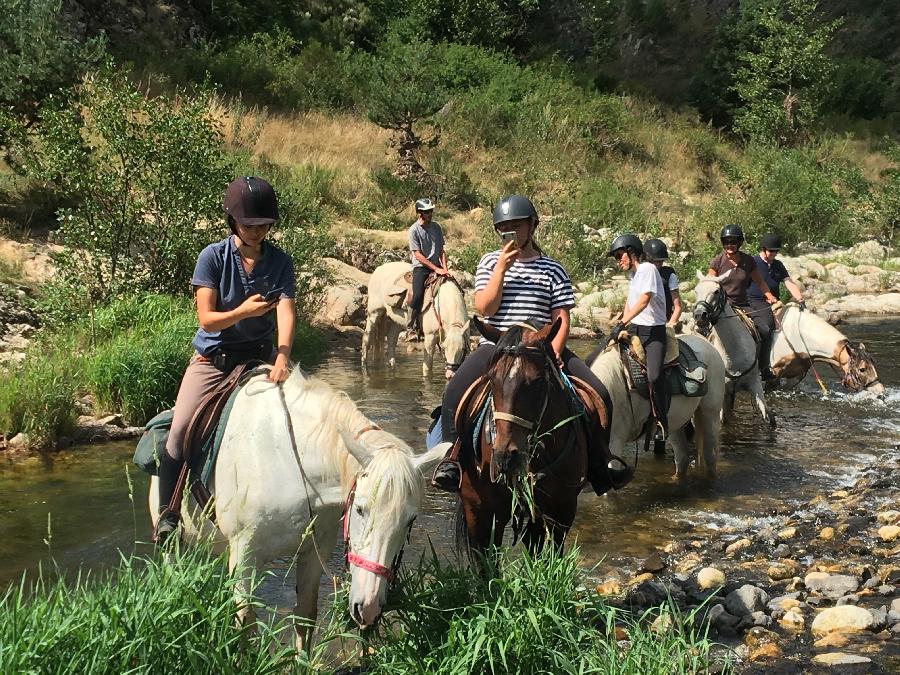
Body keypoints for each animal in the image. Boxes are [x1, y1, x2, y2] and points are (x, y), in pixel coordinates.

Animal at [149, 370, 446, 648]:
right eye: (361, 509)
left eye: (410, 520)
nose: (369, 608)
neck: (292, 461)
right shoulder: (245, 556)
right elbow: (245, 625)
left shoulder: (314, 553)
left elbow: (305, 617)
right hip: (174, 541)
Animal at [458, 318, 604, 560]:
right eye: (491, 379)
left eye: (537, 382)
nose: (505, 456)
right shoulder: (484, 509)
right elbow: (487, 562)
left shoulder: (563, 507)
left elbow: (552, 556)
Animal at [588, 334, 728, 480]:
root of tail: (709, 345)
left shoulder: (614, 443)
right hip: (675, 422)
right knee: (682, 457)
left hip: (710, 414)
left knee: (710, 456)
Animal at [692, 270, 776, 428]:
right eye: (696, 291)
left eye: (716, 291)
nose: (699, 316)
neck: (733, 351)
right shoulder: (723, 393)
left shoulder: (755, 384)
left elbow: (768, 417)